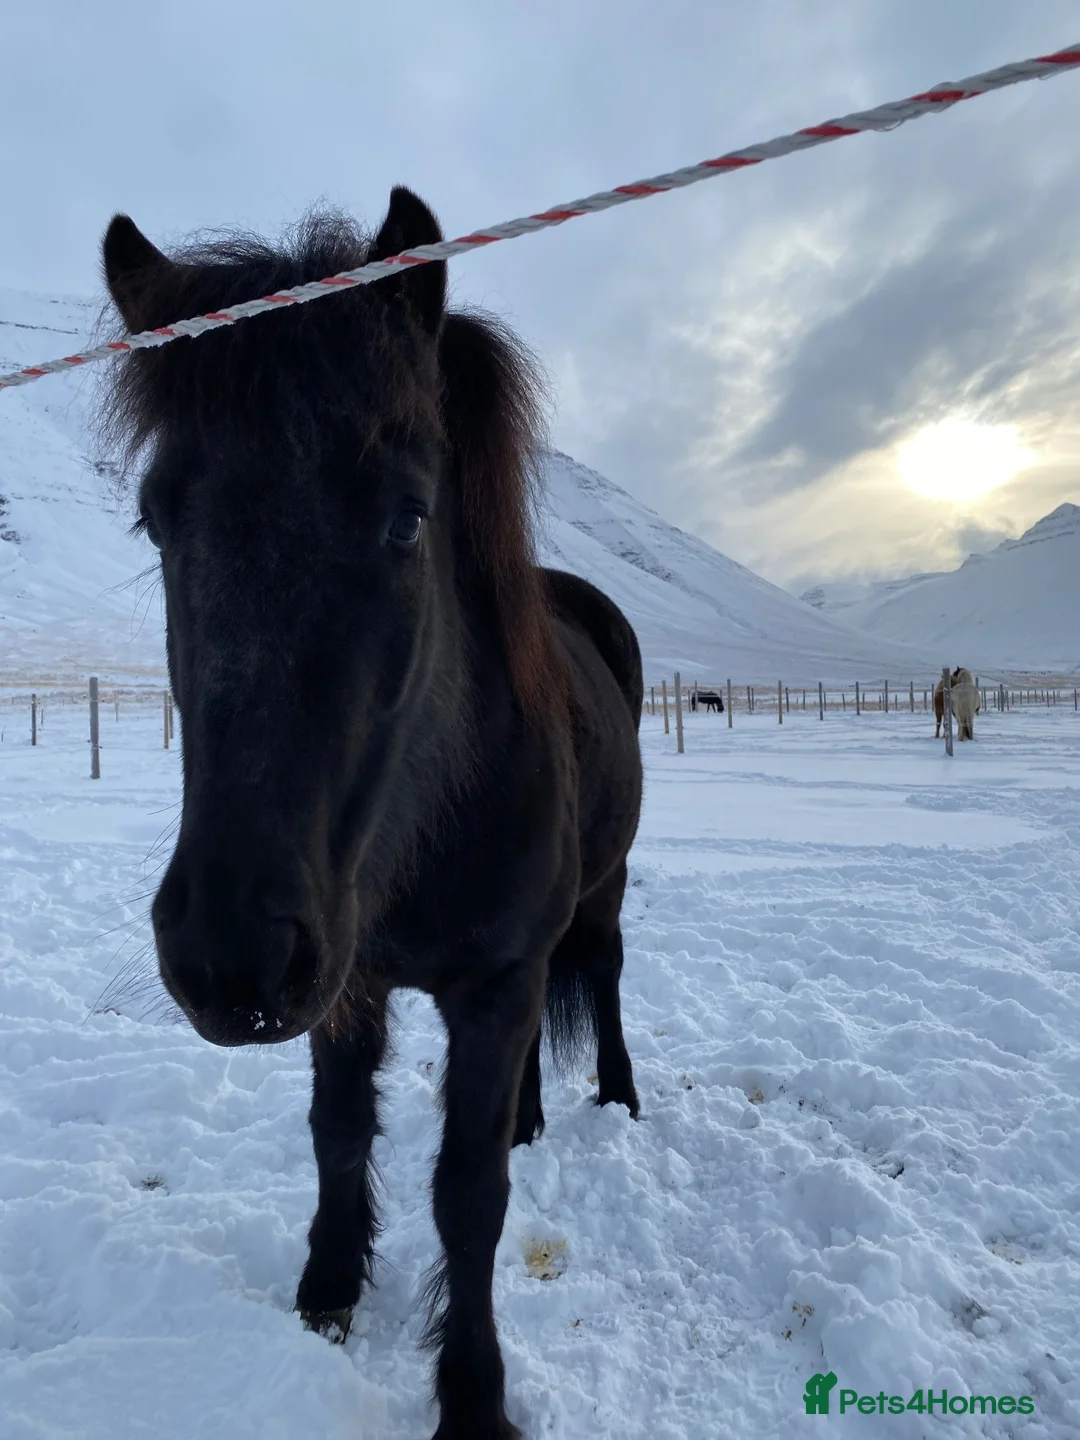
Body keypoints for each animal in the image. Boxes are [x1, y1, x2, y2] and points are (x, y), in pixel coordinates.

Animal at [100, 188, 643, 1440]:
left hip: (599, 896)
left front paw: (474, 1397)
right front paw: (327, 1294)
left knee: (605, 973)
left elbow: (469, 1192)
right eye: (155, 519)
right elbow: (341, 1134)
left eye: (407, 518)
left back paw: (620, 1099)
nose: (228, 955)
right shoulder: (347, 979)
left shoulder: (492, 980)